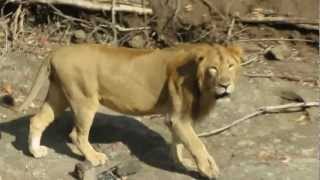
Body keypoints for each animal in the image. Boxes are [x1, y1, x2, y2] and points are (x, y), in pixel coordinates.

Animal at [20, 42, 242, 179]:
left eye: (231, 66)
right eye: (213, 68)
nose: (225, 85)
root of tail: (57, 51)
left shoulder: (178, 118)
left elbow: (179, 143)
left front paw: (181, 163)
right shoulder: (179, 118)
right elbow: (197, 145)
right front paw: (209, 169)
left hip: (59, 95)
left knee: (37, 120)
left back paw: (36, 151)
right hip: (84, 100)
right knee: (77, 134)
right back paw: (95, 158)